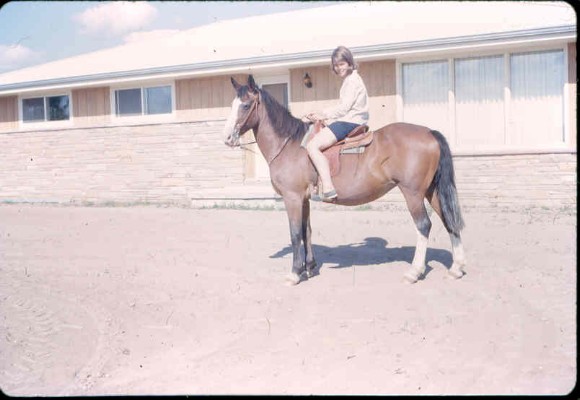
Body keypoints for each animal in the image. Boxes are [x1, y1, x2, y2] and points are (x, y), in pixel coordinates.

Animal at [222, 75, 466, 286]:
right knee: (448, 220)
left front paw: (294, 273)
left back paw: (414, 272)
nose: (227, 138)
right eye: (233, 104)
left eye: (245, 105)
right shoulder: (304, 199)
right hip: (432, 191)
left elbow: (295, 234)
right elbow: (306, 231)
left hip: (413, 193)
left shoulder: (292, 198)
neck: (290, 145)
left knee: (424, 225)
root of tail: (429, 132)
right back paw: (456, 268)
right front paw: (309, 267)